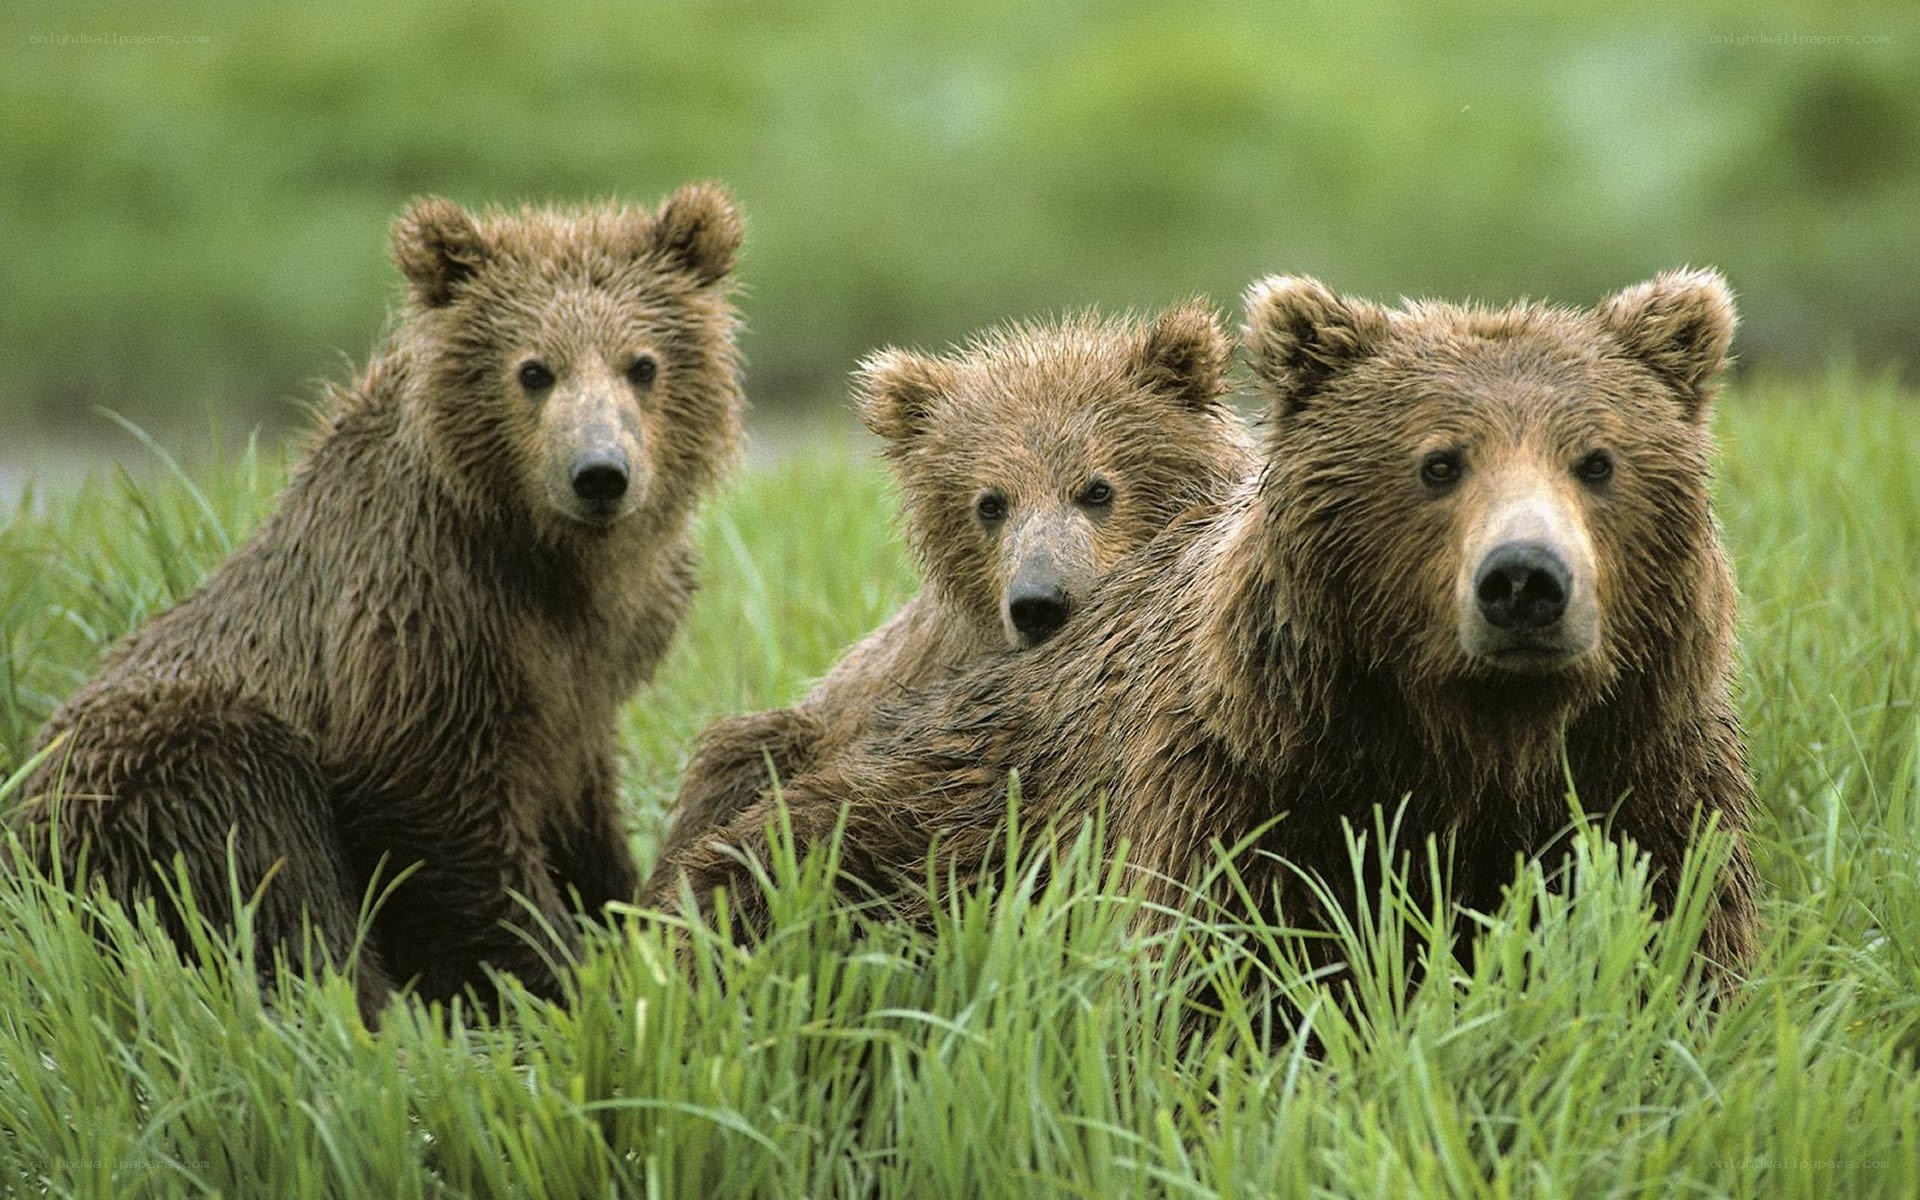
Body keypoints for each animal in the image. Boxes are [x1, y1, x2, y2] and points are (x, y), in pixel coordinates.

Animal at [12, 184, 746, 1022]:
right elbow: (438, 815)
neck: (548, 562)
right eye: (534, 369)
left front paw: (622, 911)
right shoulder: (421, 617)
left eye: (643, 363)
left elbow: (583, 806)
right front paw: (567, 973)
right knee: (263, 860)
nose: (599, 473)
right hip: (159, 767)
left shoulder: (589, 672)